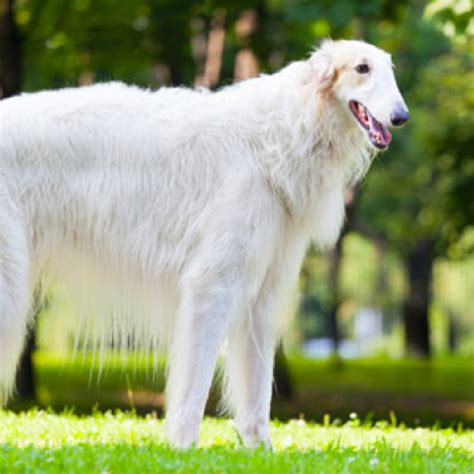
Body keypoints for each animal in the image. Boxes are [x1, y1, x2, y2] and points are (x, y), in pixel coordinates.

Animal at [0, 39, 408, 448]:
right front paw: (184, 448)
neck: (282, 133)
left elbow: (257, 399)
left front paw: (262, 451)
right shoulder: (212, 283)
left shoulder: (263, 294)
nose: (402, 116)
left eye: (390, 68)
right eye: (361, 68)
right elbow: (194, 388)